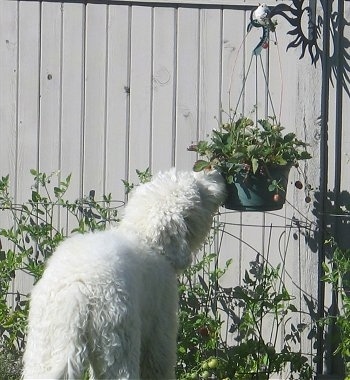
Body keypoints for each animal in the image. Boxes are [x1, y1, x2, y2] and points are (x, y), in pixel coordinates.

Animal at [21, 169, 226, 380]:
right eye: (198, 191)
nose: (215, 172)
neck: (145, 237)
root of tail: (78, 289)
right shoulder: (160, 326)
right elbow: (157, 364)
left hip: (47, 343)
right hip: (117, 340)